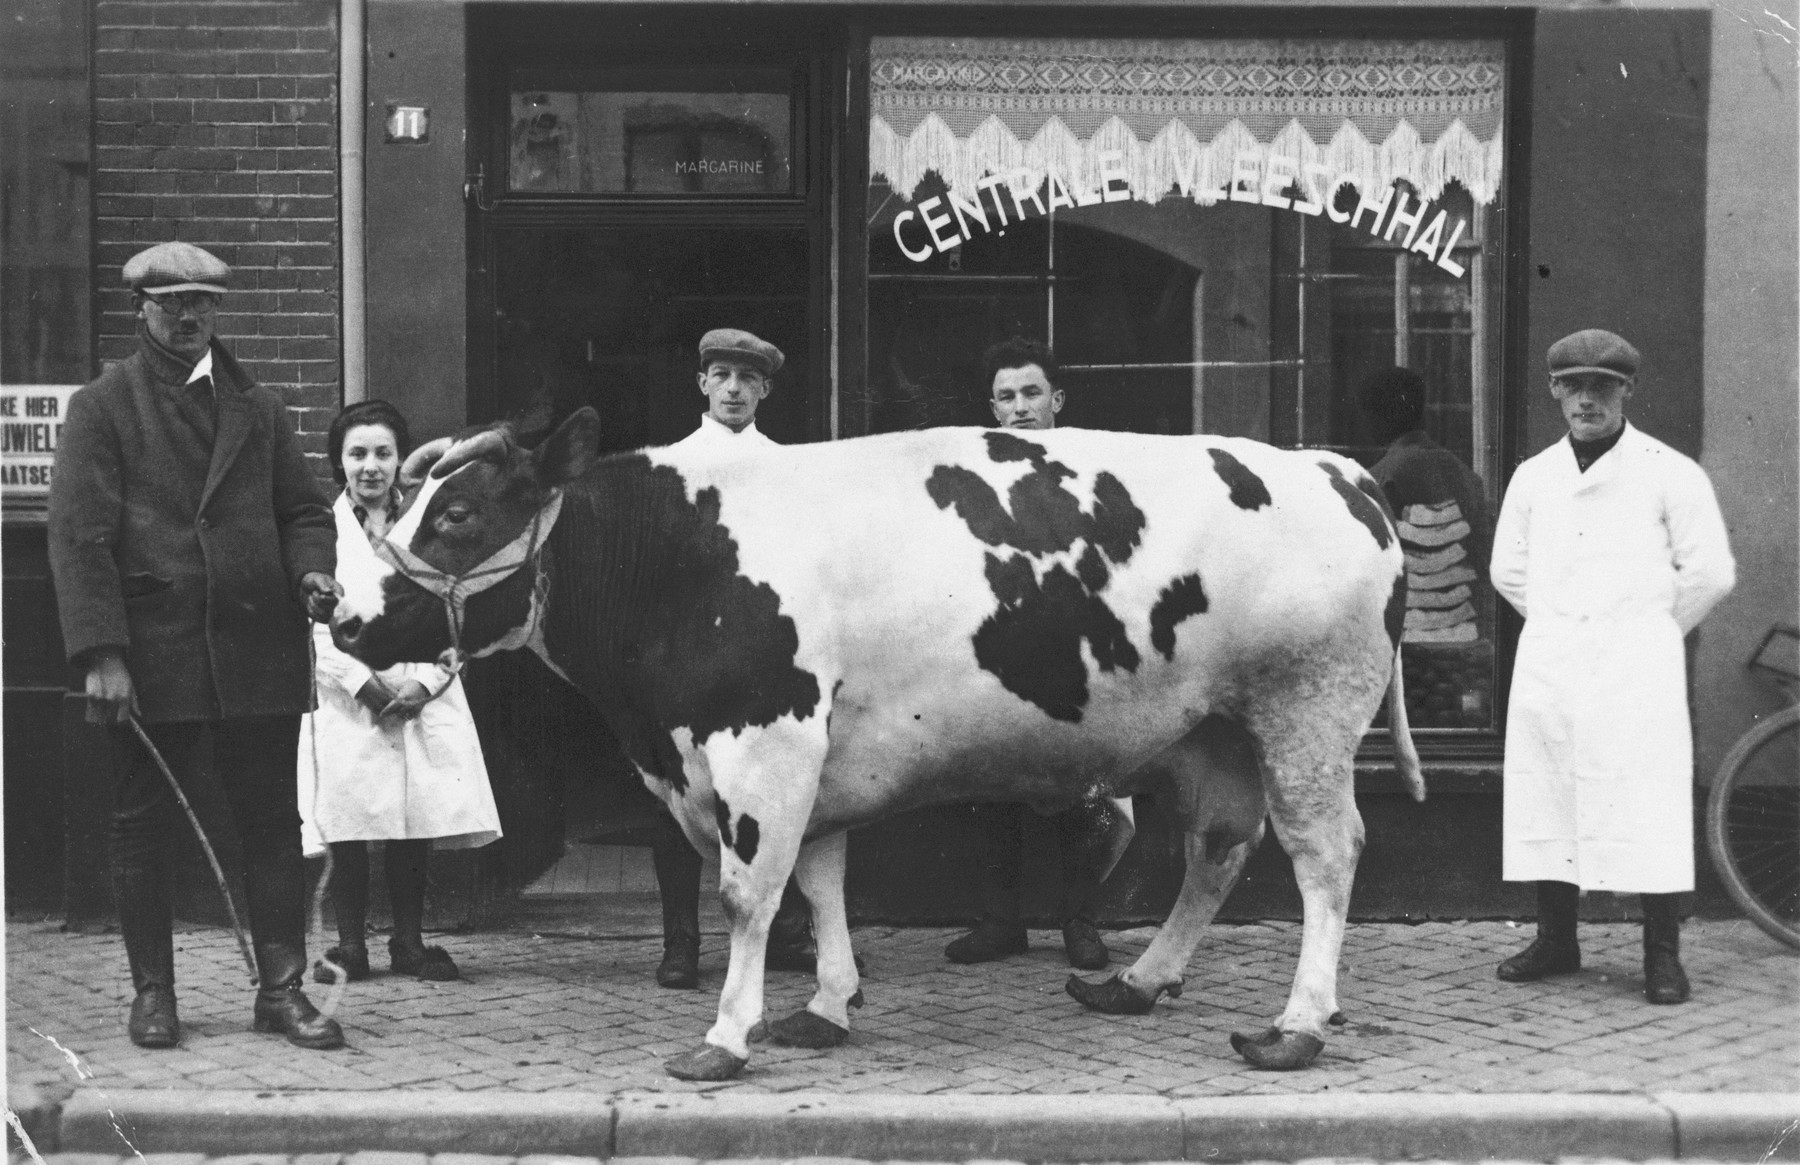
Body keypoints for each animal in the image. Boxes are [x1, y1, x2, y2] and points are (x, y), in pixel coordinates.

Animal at [327, 412, 1418, 1087]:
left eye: (458, 513)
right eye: (410, 500)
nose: (337, 613)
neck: (682, 554)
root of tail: (1336, 467)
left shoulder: (764, 740)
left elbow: (751, 893)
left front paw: (726, 1035)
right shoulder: (800, 757)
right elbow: (818, 882)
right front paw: (826, 1005)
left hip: (1308, 712)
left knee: (1326, 855)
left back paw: (1297, 1026)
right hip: (1214, 731)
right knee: (1217, 848)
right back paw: (1138, 981)